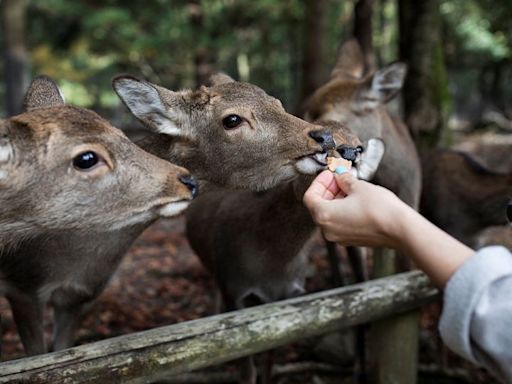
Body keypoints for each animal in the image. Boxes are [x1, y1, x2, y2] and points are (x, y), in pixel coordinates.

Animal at [185, 121, 384, 384]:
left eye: (360, 146)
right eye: (326, 141)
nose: (351, 153)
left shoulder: (285, 296)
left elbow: (270, 360)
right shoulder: (234, 289)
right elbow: (247, 370)